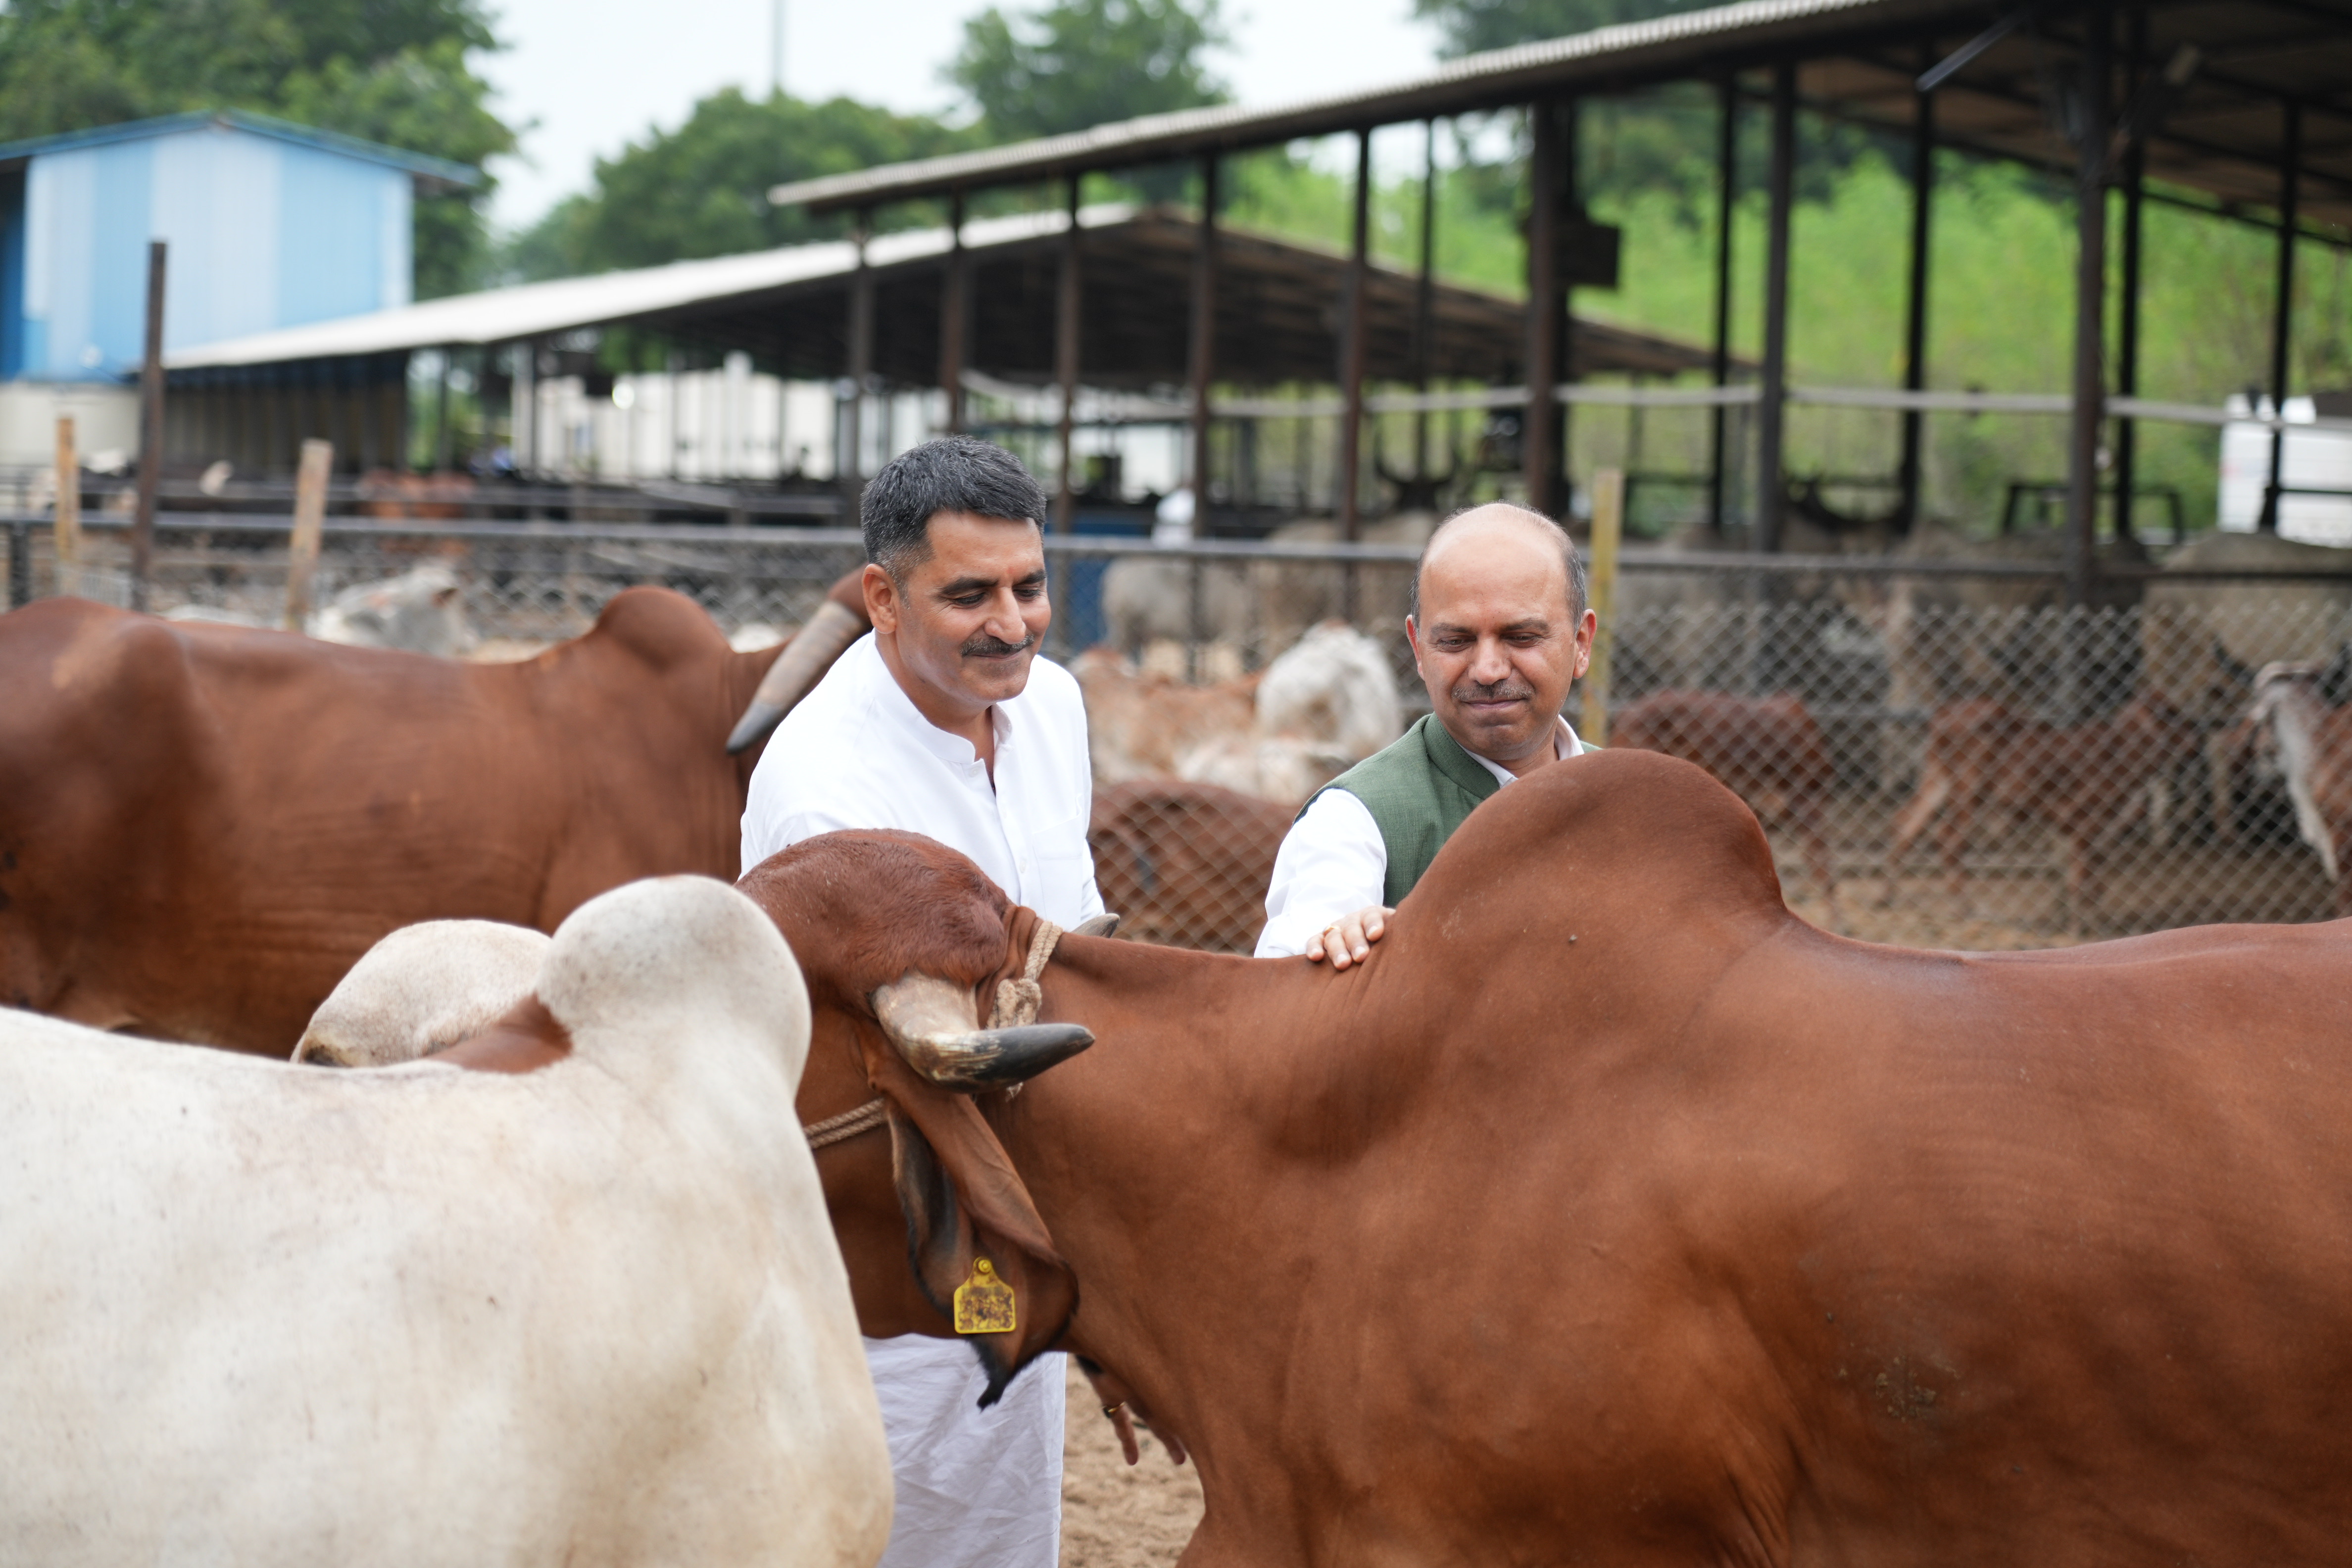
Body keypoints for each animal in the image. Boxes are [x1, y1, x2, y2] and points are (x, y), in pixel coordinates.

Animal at [1883, 691, 2200, 928]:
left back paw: (1889, 897)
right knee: (1948, 838)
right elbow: (2080, 882)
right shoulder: (2085, 819)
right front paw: (2080, 929)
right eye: (2172, 715)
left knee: (1906, 823)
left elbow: (2095, 885)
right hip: (1969, 789)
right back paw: (1965, 909)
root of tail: (1943, 713)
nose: (2197, 736)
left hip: (1939, 779)